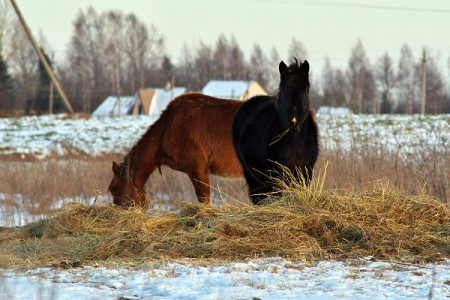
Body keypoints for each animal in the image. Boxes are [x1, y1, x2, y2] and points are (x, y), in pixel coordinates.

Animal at [234, 59, 318, 204]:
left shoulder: (305, 174)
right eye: (283, 90)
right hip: (253, 177)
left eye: (306, 90)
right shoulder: (277, 176)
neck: (295, 144)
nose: (293, 120)